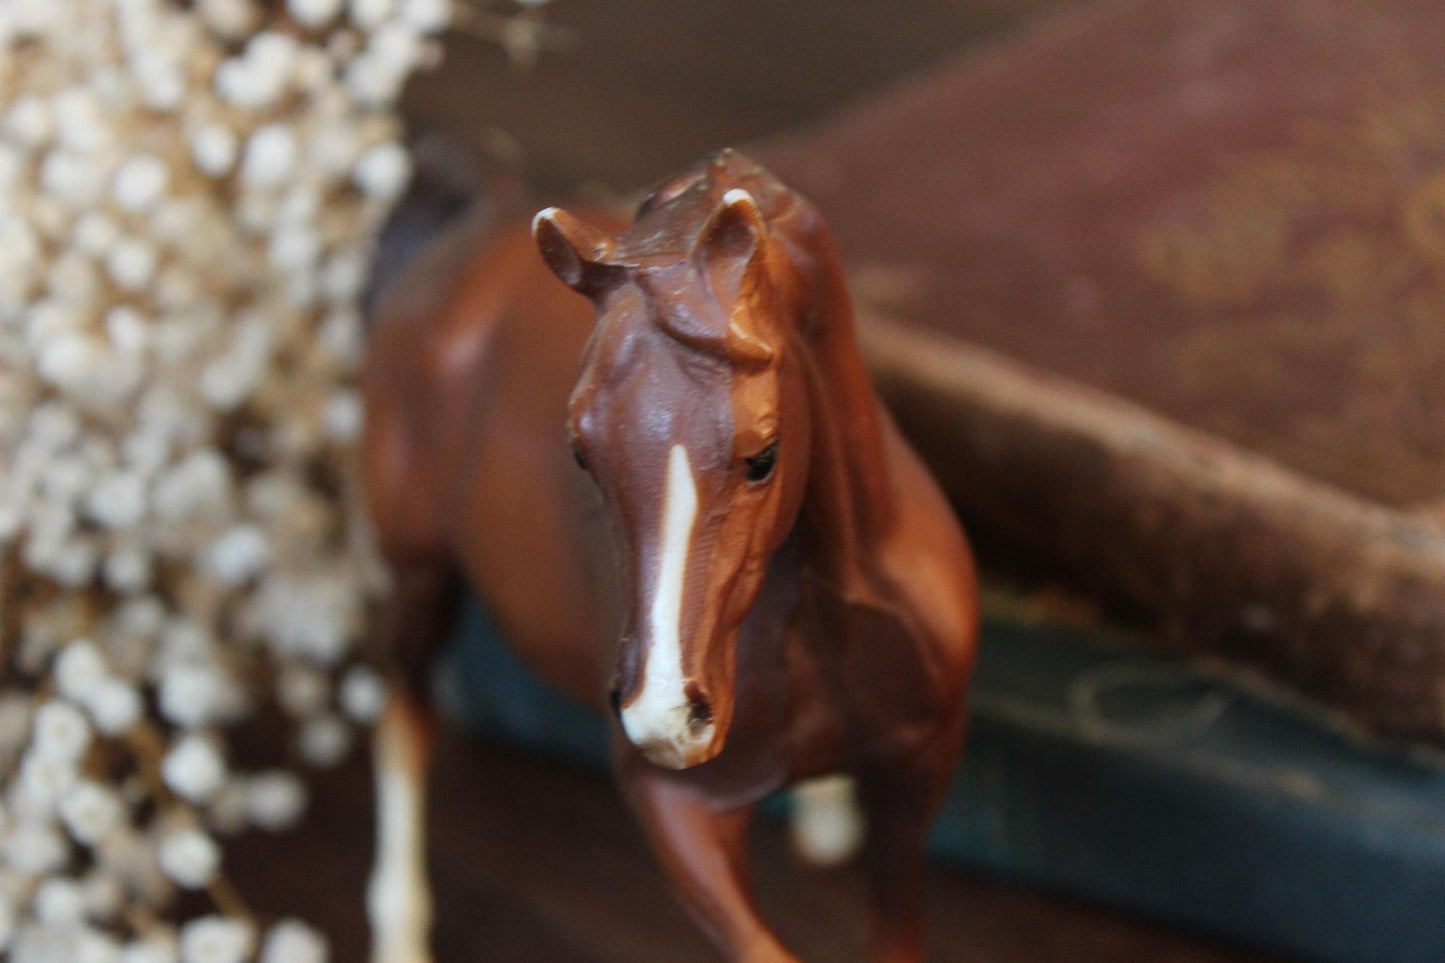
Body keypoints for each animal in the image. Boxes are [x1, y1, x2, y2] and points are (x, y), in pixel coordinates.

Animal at [358, 150, 982, 960]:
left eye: (764, 455)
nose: (664, 715)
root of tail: (469, 215)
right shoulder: (676, 806)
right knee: (404, 717)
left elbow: (895, 925)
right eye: (581, 452)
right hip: (418, 576)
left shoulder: (920, 764)